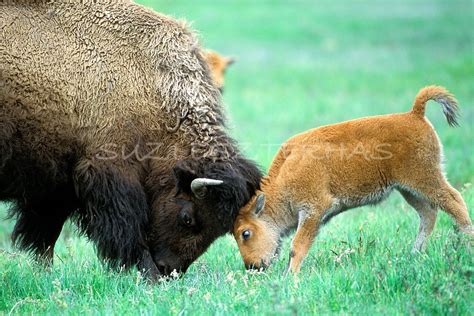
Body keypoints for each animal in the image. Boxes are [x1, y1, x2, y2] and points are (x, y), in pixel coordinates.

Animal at [0, 0, 262, 278]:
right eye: (187, 218)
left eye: (219, 230)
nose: (168, 269)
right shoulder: (111, 175)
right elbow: (127, 229)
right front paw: (149, 275)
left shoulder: (59, 183)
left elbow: (46, 234)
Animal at [234, 85, 474, 272]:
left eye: (245, 233)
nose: (253, 266)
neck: (285, 175)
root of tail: (414, 114)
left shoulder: (313, 210)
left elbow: (297, 246)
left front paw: (291, 278)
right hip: (407, 189)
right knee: (428, 214)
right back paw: (414, 253)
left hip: (425, 179)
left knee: (454, 202)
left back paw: (468, 243)